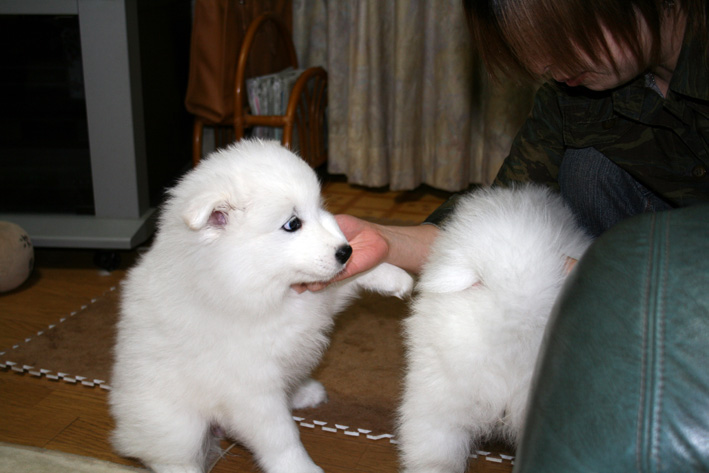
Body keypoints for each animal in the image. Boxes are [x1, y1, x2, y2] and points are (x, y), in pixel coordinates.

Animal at [108, 139, 412, 472]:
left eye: (319, 208)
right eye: (293, 224)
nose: (346, 251)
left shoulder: (316, 302)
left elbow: (349, 279)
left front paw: (395, 276)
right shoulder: (252, 389)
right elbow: (281, 438)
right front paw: (302, 468)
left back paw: (304, 391)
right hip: (176, 424)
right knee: (172, 458)